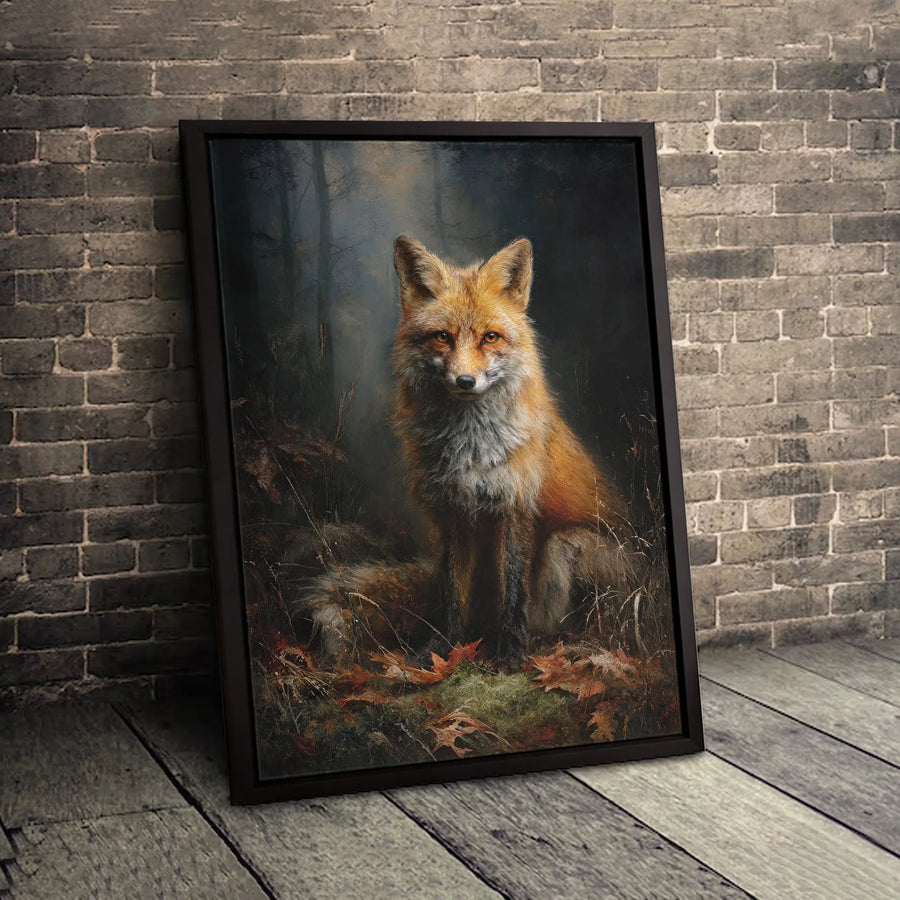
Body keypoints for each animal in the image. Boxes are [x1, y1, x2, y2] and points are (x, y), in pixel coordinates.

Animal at [297, 236, 641, 664]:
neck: (471, 449)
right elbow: (452, 596)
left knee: (555, 613)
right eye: (442, 336)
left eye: (490, 337)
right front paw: (443, 651)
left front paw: (511, 657)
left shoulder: (514, 509)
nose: (465, 381)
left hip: (569, 547)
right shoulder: (452, 514)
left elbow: (514, 596)